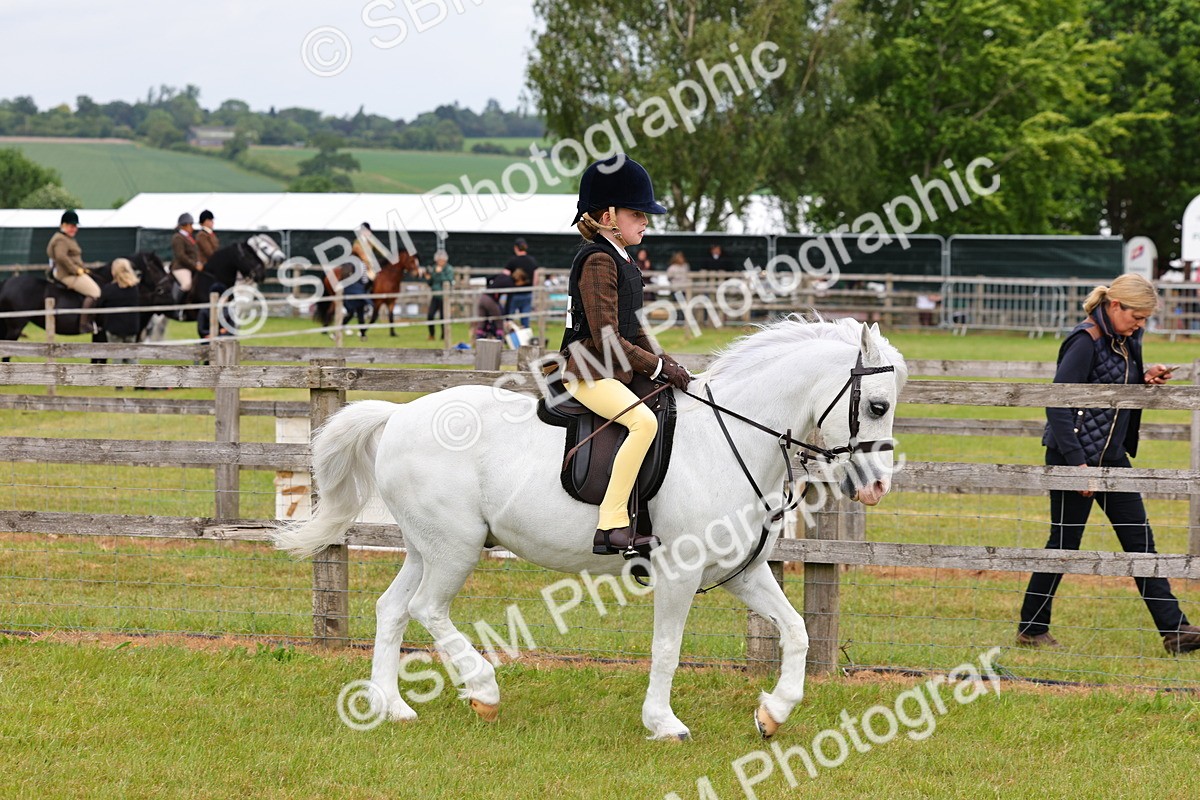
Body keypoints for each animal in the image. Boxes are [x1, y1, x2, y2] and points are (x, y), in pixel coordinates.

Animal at [0, 252, 175, 342]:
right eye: (154, 268)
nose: (165, 287)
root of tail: (6, 282)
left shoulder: (99, 333)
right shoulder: (103, 332)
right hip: (15, 327)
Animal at [273, 317, 907, 741]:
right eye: (877, 406)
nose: (876, 485)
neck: (732, 438)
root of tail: (400, 414)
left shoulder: (741, 574)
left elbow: (797, 631)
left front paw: (773, 713)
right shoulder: (680, 573)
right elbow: (667, 647)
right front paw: (664, 722)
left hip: (426, 546)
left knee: (393, 609)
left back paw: (392, 707)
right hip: (455, 549)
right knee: (428, 609)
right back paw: (483, 692)